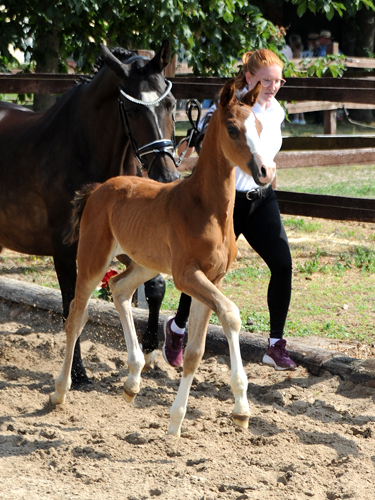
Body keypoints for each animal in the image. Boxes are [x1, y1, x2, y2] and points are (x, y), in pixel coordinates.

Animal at [0, 41, 179, 384]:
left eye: (171, 104)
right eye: (132, 110)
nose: (166, 176)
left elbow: (156, 287)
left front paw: (150, 351)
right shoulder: (65, 247)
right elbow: (73, 301)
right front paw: (78, 373)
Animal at [51, 80, 276, 436]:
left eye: (259, 126)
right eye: (232, 129)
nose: (265, 171)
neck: (207, 209)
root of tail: (99, 188)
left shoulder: (212, 279)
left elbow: (196, 351)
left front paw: (199, 417)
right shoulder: (187, 276)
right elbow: (231, 313)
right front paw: (228, 409)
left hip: (144, 264)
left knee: (119, 288)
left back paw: (132, 380)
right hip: (92, 259)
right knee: (75, 316)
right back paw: (60, 391)